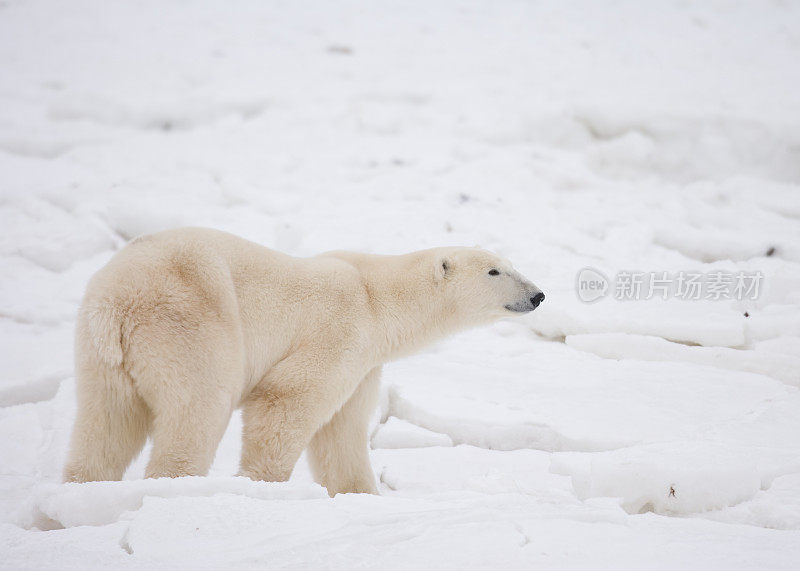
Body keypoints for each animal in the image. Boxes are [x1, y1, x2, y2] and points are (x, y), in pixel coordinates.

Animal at [62, 228, 544, 496]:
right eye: (494, 271)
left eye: (511, 263)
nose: (538, 294)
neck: (375, 297)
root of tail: (116, 302)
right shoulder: (339, 329)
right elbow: (285, 400)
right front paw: (262, 488)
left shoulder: (364, 363)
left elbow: (342, 432)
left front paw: (360, 495)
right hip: (189, 321)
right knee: (199, 408)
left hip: (101, 354)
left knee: (106, 424)